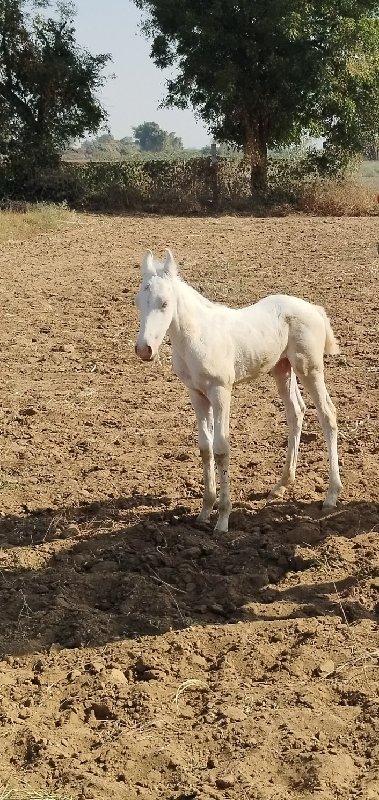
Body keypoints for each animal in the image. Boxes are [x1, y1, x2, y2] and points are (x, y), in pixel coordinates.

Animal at [135, 248, 342, 532]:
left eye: (164, 303)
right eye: (138, 302)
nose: (143, 350)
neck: (197, 337)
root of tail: (313, 308)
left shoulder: (221, 391)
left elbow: (222, 449)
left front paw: (222, 520)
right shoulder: (196, 394)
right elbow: (205, 448)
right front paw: (204, 512)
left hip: (309, 368)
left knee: (328, 415)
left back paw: (331, 495)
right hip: (282, 368)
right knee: (296, 412)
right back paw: (281, 484)